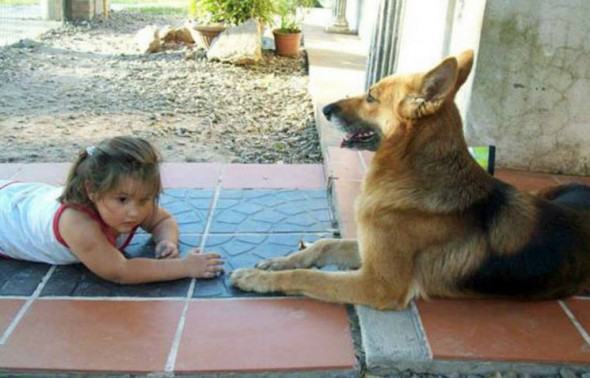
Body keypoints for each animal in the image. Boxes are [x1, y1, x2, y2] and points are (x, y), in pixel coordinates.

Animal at [229, 50, 590, 310]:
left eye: (371, 97)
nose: (326, 109)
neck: (409, 174)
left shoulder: (377, 283)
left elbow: (307, 278)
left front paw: (255, 278)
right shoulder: (369, 248)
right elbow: (323, 245)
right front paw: (275, 263)